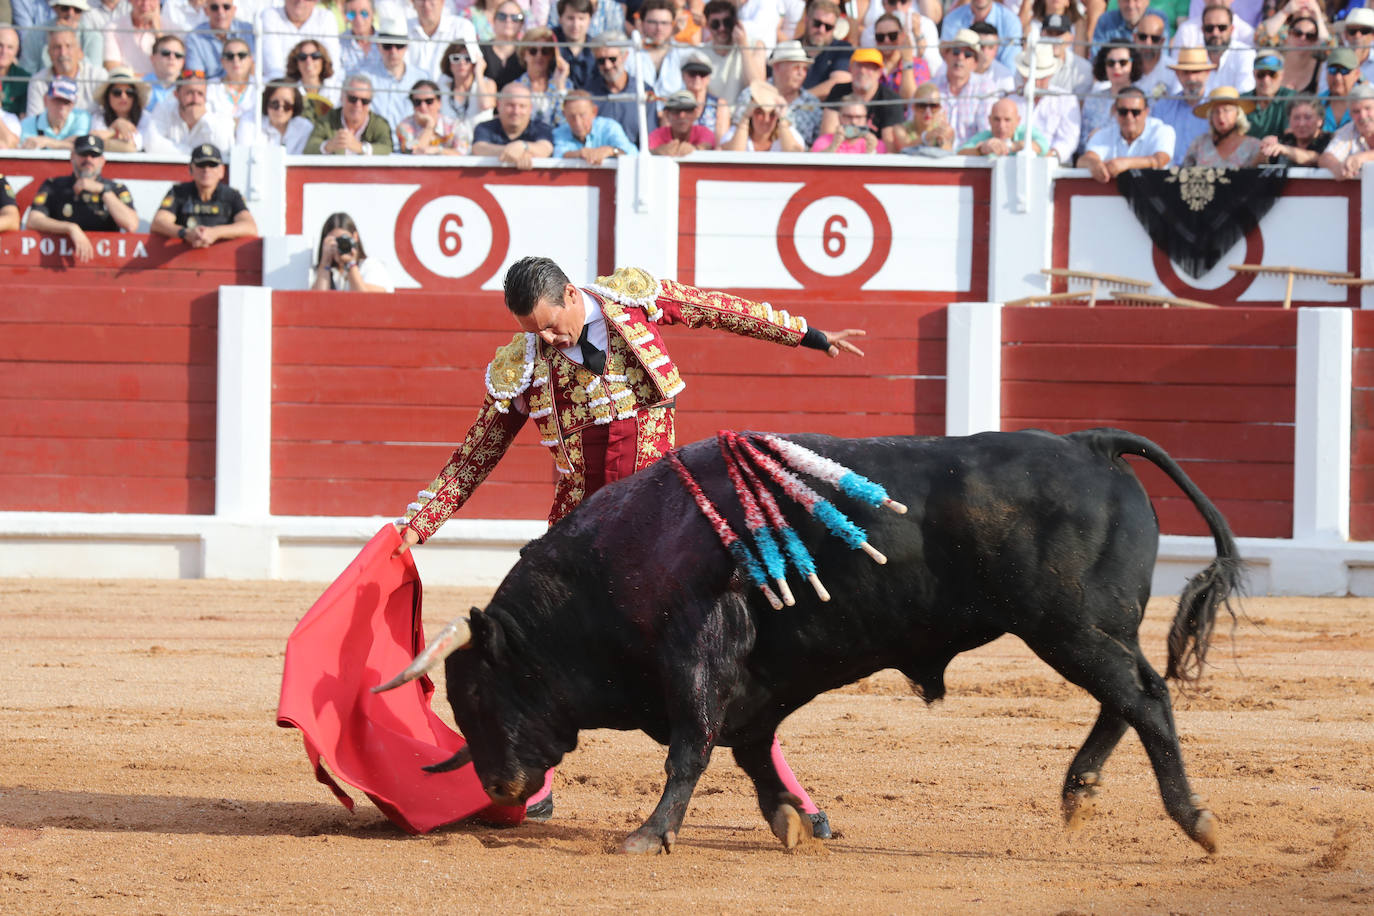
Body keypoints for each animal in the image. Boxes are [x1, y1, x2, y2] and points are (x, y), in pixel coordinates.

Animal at [390, 428, 1247, 851]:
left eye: (479, 690)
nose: (500, 786)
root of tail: (1089, 444)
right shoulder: (758, 682)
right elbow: (748, 747)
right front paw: (790, 823)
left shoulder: (695, 653)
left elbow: (691, 746)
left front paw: (649, 834)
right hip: (1089, 627)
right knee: (1127, 697)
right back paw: (1080, 793)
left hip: (1064, 624)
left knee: (1142, 696)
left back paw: (1195, 820)